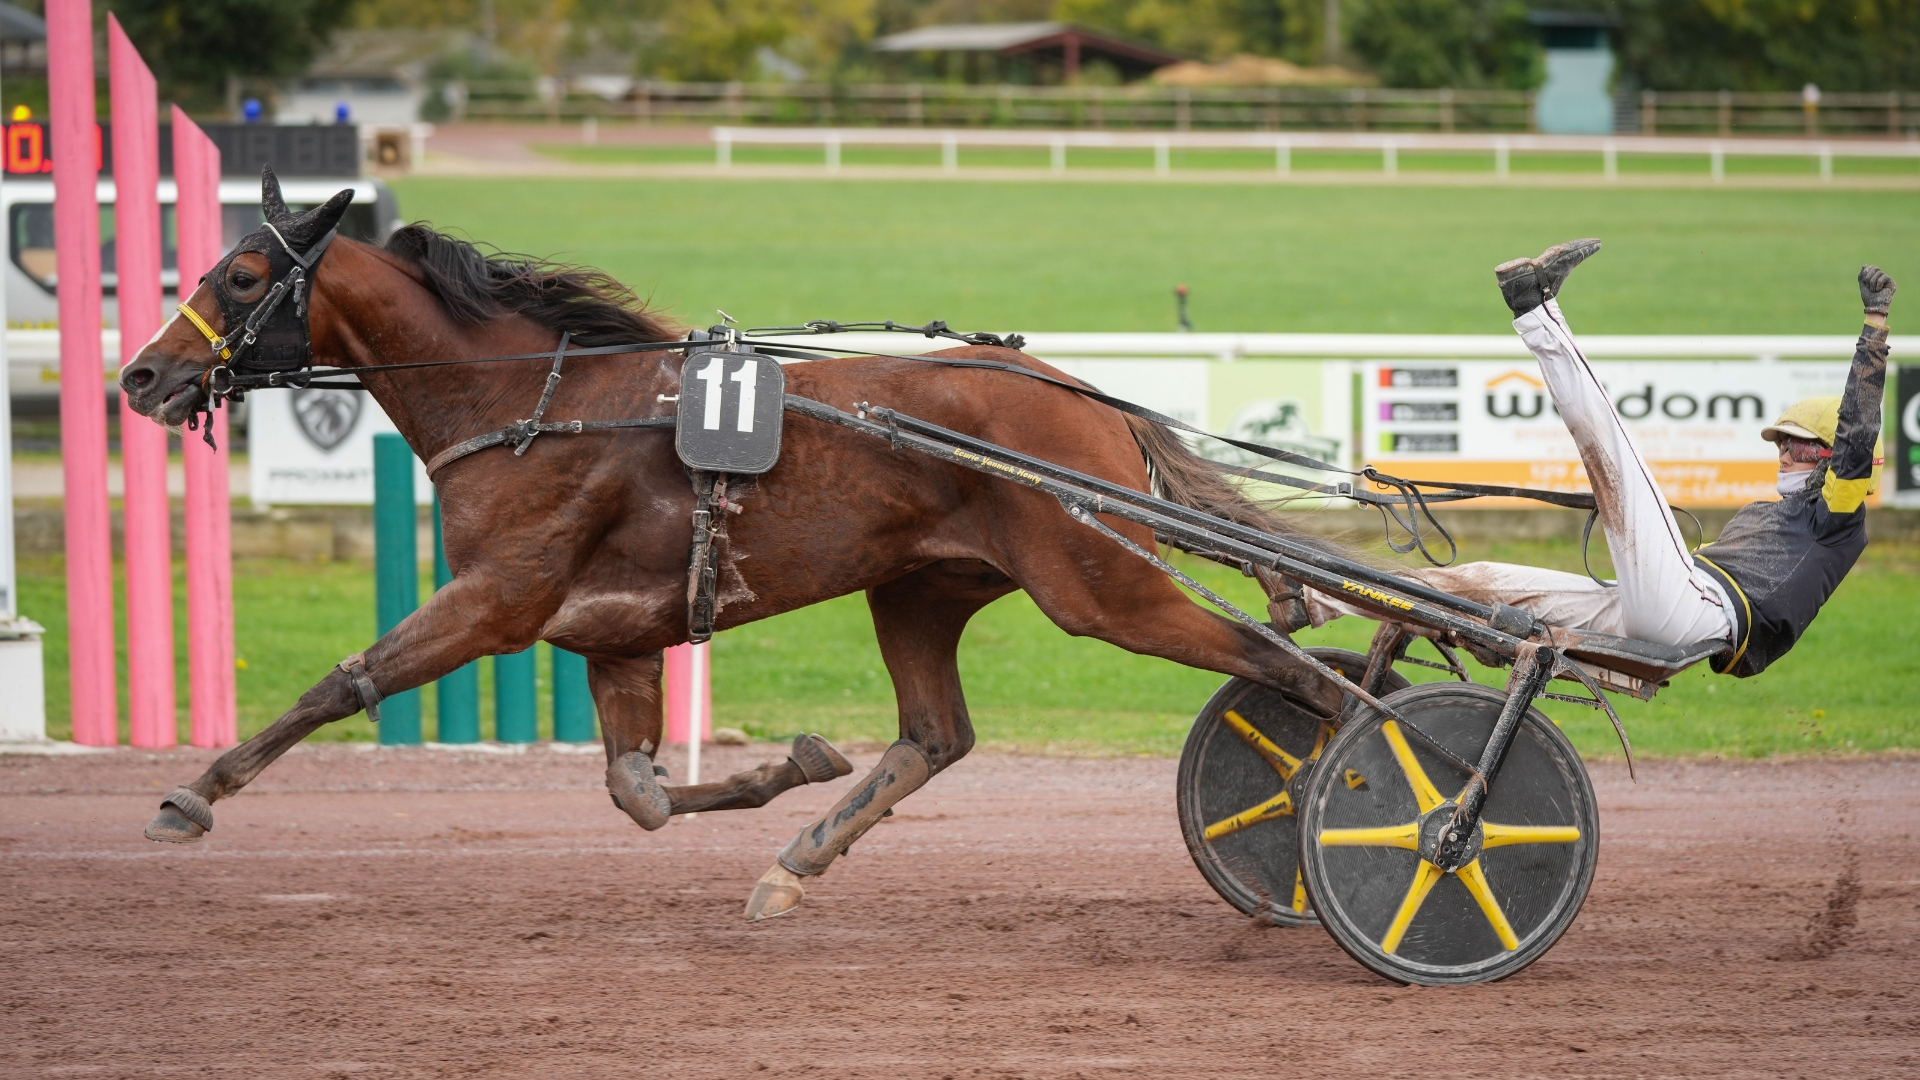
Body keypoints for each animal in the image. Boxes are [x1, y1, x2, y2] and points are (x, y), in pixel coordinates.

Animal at [119, 174, 1345, 920]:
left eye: (239, 276)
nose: (142, 374)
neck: (532, 406)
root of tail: (1079, 391)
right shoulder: (610, 636)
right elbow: (639, 793)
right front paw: (792, 763)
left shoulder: (497, 600)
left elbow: (343, 682)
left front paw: (191, 797)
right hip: (922, 588)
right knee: (933, 738)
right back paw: (793, 865)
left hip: (1101, 587)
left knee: (1295, 673)